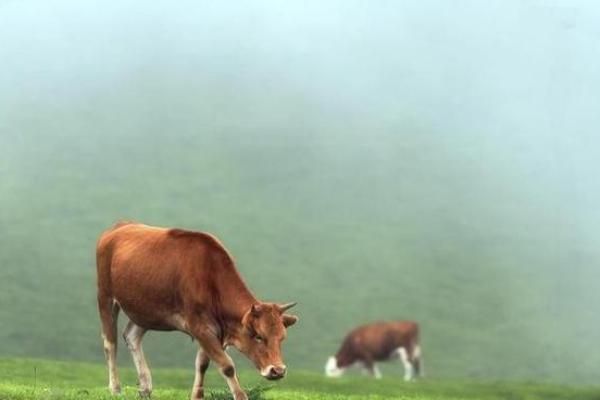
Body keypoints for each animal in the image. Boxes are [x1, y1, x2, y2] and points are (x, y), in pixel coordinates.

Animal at [96, 222, 300, 400]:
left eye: (282, 338)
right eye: (258, 336)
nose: (278, 370)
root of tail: (119, 226)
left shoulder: (212, 329)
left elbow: (202, 364)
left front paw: (196, 395)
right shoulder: (199, 326)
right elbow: (227, 366)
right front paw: (241, 396)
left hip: (145, 309)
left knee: (131, 336)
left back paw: (145, 388)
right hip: (105, 296)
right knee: (110, 342)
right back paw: (115, 388)